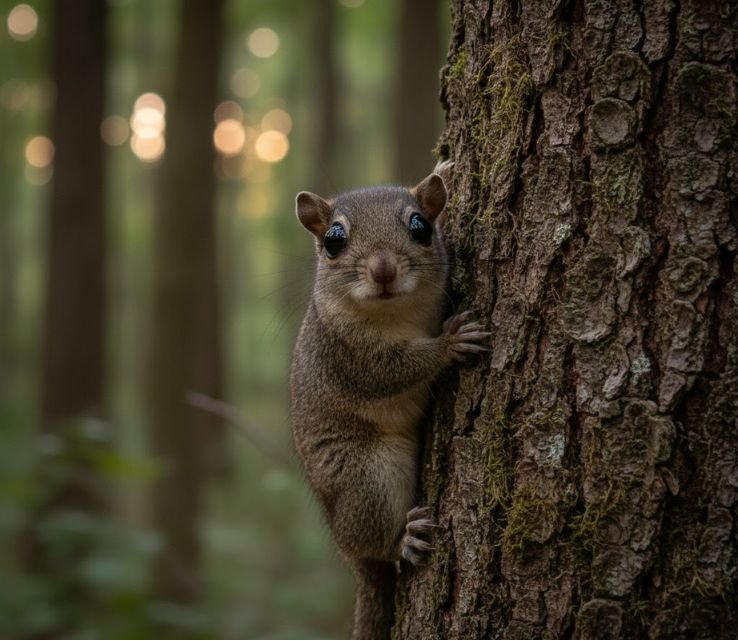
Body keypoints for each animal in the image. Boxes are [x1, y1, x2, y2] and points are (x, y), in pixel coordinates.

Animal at [290, 163, 489, 640]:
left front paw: (442, 169)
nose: (383, 270)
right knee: (378, 544)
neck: (397, 312)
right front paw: (449, 344)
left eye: (420, 227)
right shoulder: (349, 355)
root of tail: (349, 554)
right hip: (368, 479)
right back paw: (404, 540)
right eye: (333, 240)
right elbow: (393, 371)